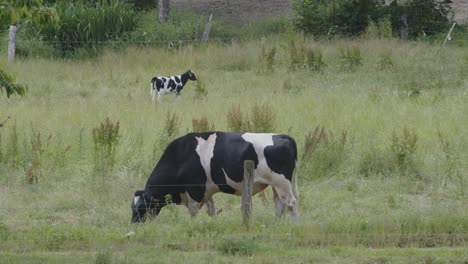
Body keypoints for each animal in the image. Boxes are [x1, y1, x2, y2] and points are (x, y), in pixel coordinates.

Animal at [131, 132, 300, 223]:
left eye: (140, 208)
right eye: (132, 207)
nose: (134, 224)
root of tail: (281, 135)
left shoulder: (195, 190)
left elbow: (193, 211)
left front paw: (191, 225)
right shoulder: (207, 190)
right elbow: (211, 210)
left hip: (282, 182)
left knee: (291, 203)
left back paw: (294, 224)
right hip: (275, 185)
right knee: (279, 205)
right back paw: (276, 223)